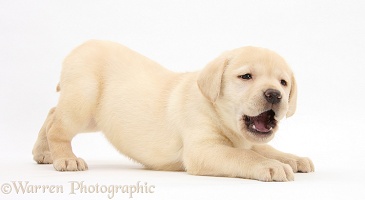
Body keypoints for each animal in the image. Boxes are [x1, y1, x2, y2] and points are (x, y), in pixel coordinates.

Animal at [32, 40, 312, 181]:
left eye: (283, 82)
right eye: (246, 76)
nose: (274, 95)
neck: (219, 113)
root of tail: (79, 47)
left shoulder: (249, 139)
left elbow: (264, 148)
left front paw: (293, 158)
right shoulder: (203, 150)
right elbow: (245, 156)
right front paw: (271, 166)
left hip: (93, 115)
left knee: (51, 112)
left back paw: (43, 153)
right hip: (84, 99)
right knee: (58, 125)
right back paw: (64, 158)